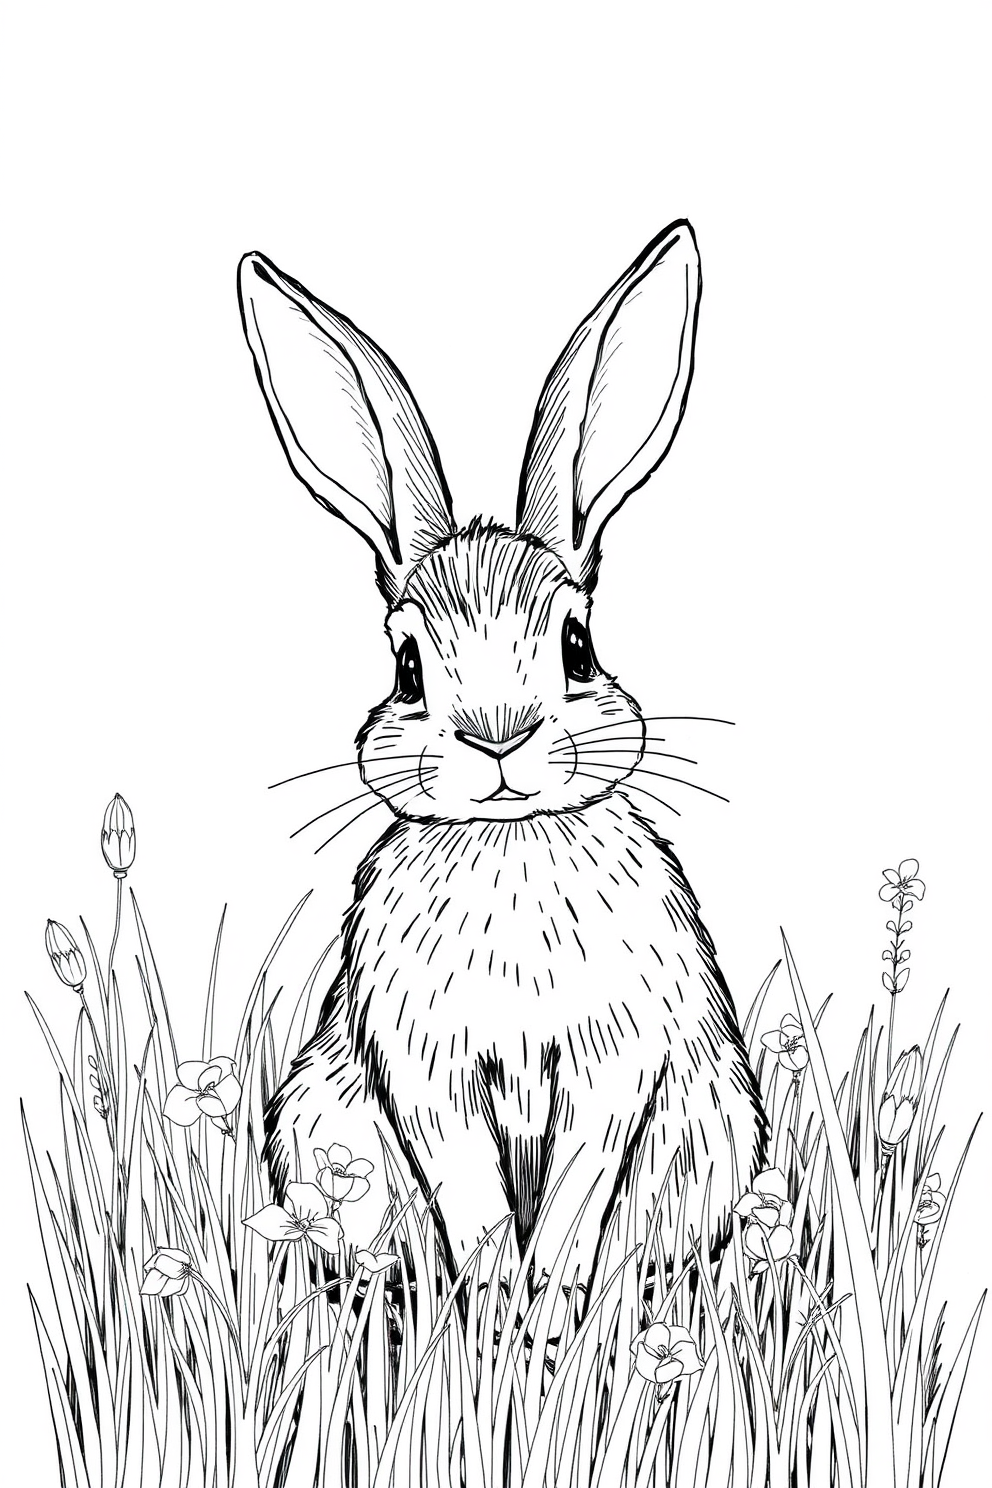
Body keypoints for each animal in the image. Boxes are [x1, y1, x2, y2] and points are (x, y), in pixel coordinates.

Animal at [237, 220, 768, 1287]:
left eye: (577, 645)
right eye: (406, 666)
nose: (498, 736)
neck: (506, 843)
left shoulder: (615, 1061)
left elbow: (577, 1190)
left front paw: (549, 1297)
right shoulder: (422, 1066)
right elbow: (468, 1191)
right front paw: (493, 1300)